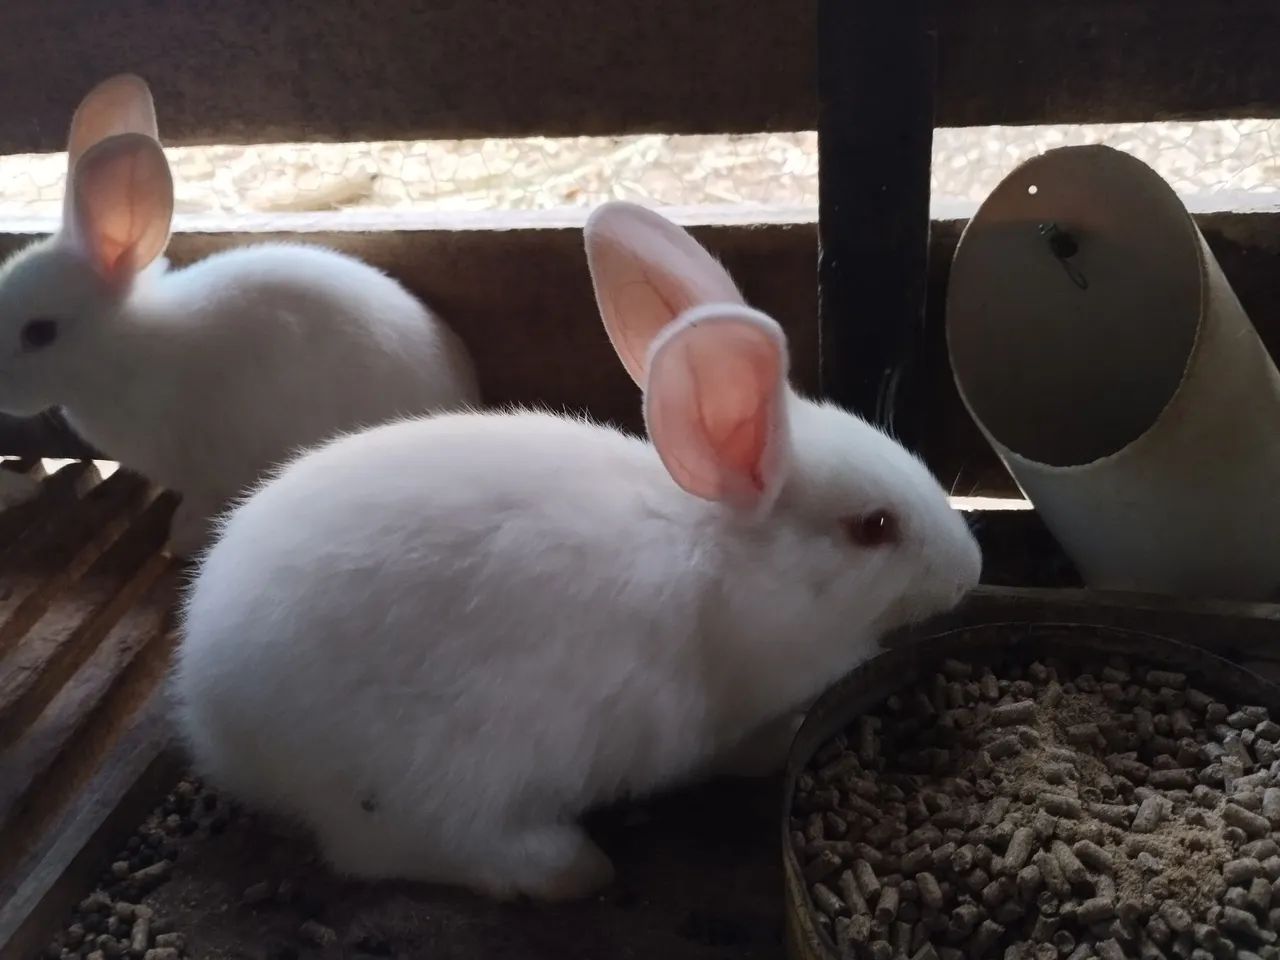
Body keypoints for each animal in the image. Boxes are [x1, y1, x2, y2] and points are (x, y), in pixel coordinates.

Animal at [173, 200, 981, 901]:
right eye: (874, 526)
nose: (971, 569)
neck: (722, 558)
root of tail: (215, 718)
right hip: (435, 772)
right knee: (390, 847)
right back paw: (566, 868)